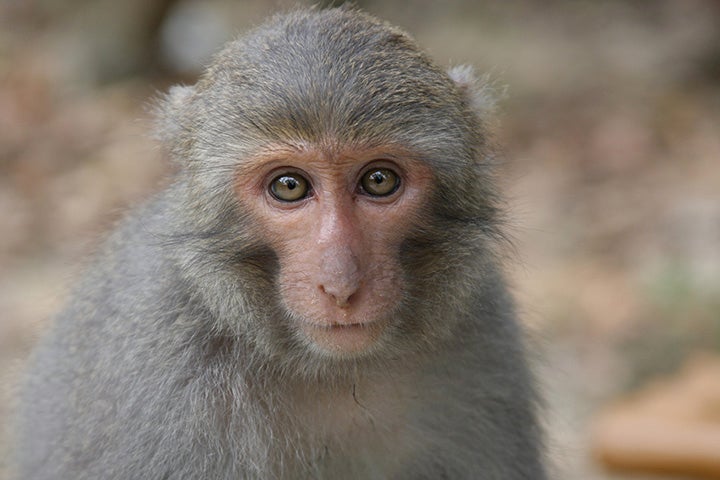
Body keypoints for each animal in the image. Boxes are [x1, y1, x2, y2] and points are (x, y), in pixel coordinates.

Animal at [14, 7, 546, 480]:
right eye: (289, 186)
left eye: (379, 180)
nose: (341, 285)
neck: (333, 371)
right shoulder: (166, 367)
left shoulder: (486, 340)